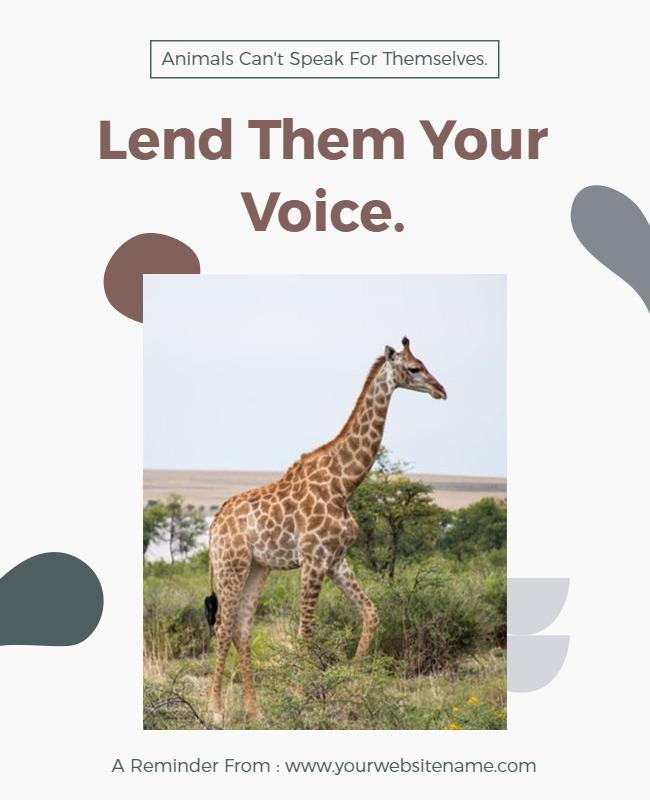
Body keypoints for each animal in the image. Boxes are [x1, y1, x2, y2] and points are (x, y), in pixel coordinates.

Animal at [206, 336, 446, 726]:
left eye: (424, 364)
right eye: (413, 368)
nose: (441, 390)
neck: (344, 483)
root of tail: (213, 526)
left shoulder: (337, 560)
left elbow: (371, 613)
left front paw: (355, 683)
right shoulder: (314, 559)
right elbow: (306, 631)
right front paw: (300, 698)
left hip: (258, 567)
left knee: (242, 629)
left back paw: (256, 712)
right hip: (231, 565)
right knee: (223, 627)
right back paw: (216, 711)